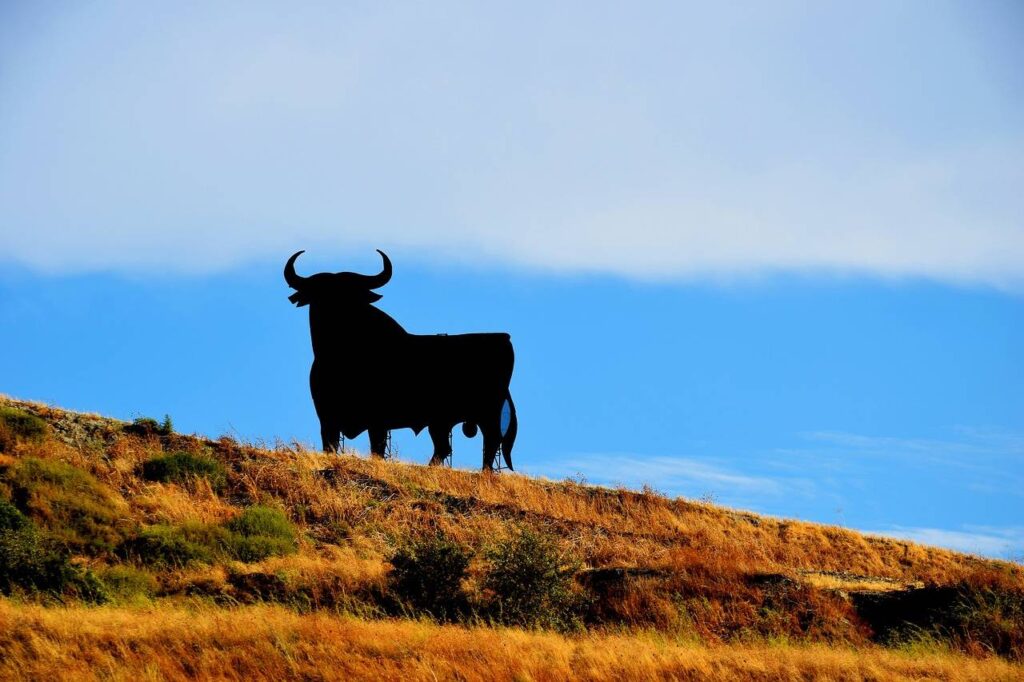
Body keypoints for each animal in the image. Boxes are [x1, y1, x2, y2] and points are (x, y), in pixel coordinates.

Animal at [284, 248, 516, 466]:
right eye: (319, 294)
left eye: (351, 294)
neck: (341, 355)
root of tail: (504, 338)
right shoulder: (327, 417)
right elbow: (330, 445)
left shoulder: (378, 419)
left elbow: (377, 449)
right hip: (441, 420)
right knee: (445, 447)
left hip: (487, 412)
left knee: (491, 442)